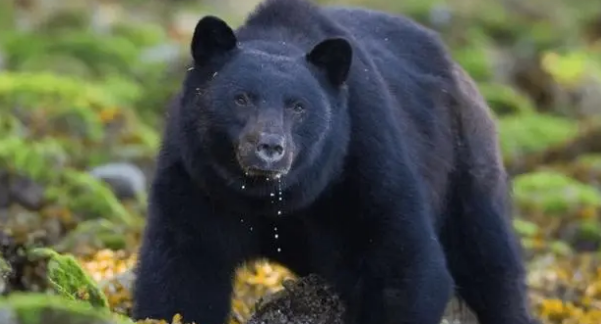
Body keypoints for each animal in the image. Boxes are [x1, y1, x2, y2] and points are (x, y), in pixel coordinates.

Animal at [134, 0, 536, 324]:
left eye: (298, 106)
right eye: (241, 98)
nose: (270, 147)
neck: (272, 198)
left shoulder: (365, 159)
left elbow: (407, 262)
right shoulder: (195, 180)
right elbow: (183, 271)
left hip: (465, 162)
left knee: (490, 259)